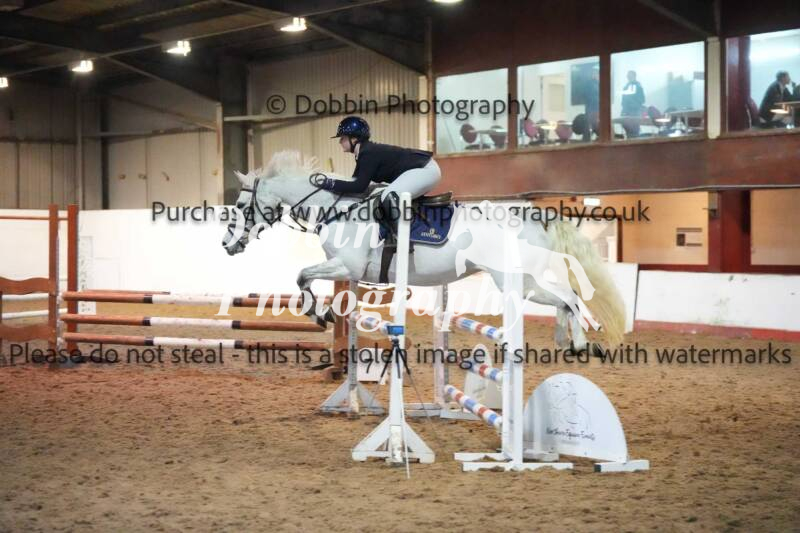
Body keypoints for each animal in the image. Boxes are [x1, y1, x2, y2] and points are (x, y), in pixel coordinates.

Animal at [222, 150, 625, 351]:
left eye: (240, 207)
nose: (227, 245)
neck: (336, 207)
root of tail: (534, 215)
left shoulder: (345, 267)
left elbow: (302, 276)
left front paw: (319, 315)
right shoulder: (345, 270)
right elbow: (305, 278)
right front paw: (325, 315)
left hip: (518, 280)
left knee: (569, 297)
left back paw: (579, 344)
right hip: (526, 279)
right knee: (565, 298)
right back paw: (566, 341)